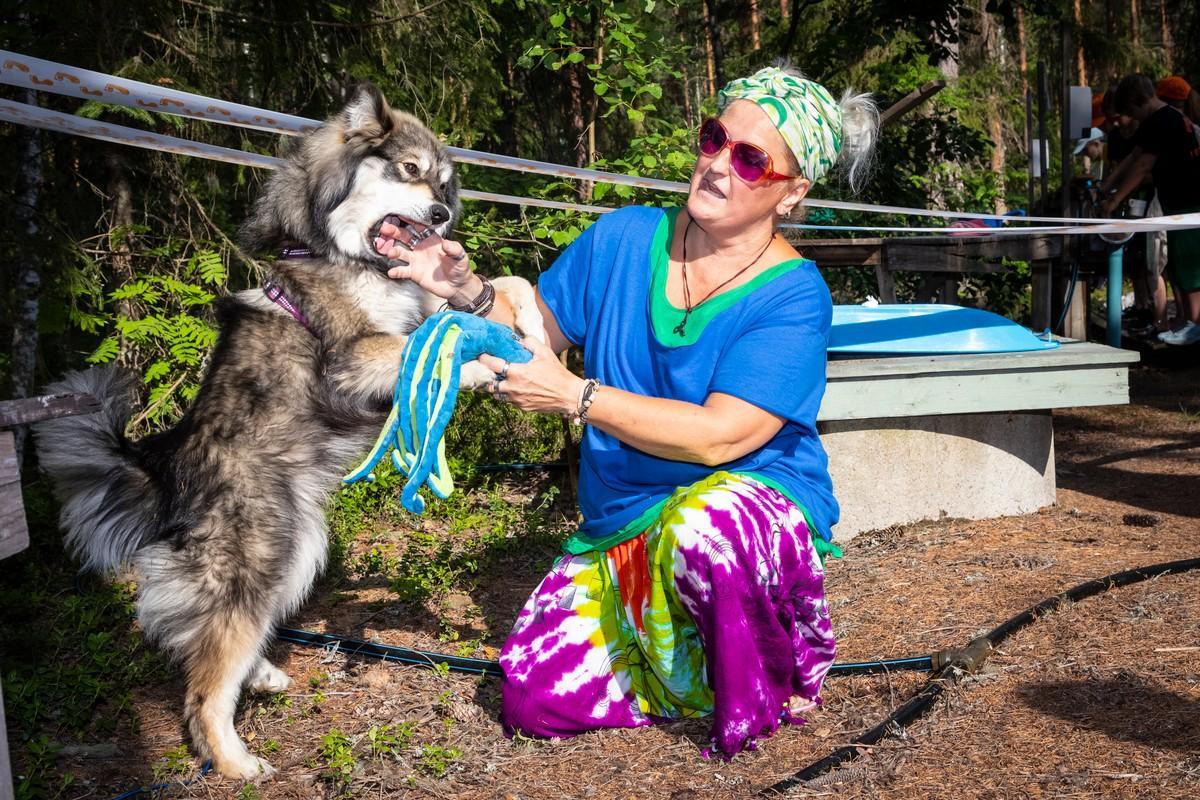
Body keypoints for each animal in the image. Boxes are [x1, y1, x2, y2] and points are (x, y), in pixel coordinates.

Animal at [37, 84, 542, 777]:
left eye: (443, 182)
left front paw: (522, 324)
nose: (441, 215)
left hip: (298, 548)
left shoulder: (418, 306)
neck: (346, 257)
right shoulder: (352, 358)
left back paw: (261, 676)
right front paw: (482, 362)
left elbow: (482, 298)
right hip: (259, 556)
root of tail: (168, 468)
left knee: (205, 638)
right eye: (408, 170)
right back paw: (234, 761)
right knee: (204, 679)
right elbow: (431, 342)